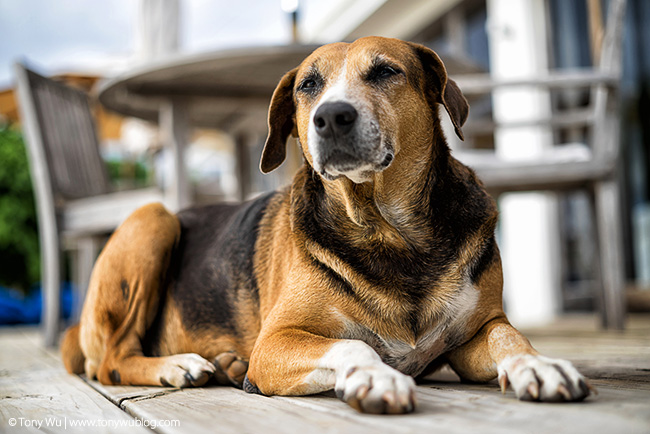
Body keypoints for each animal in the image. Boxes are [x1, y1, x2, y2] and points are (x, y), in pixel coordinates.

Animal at [62, 37, 592, 414]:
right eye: (307, 86)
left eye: (386, 72)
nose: (332, 117)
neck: (389, 230)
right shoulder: (276, 343)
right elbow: (353, 345)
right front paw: (376, 376)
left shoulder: (480, 329)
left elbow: (509, 337)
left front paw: (539, 364)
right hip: (152, 220)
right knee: (110, 362)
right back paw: (180, 366)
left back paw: (227, 364)